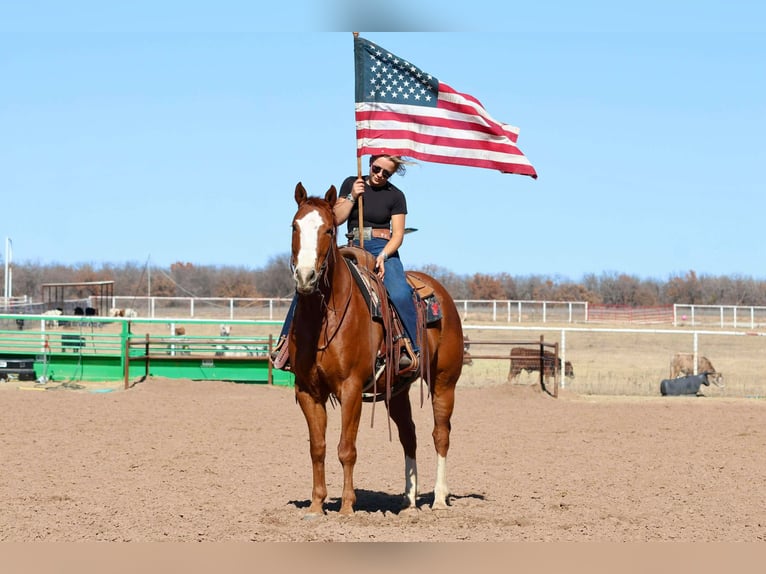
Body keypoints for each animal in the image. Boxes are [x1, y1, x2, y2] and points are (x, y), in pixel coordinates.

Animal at [288, 182, 464, 516]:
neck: (323, 319)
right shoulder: (307, 390)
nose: (306, 277)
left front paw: (346, 507)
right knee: (409, 435)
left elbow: (346, 448)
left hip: (444, 381)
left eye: (328, 229)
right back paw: (409, 501)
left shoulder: (351, 388)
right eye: (294, 226)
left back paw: (438, 498)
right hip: (397, 389)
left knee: (441, 434)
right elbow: (317, 448)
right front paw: (316, 506)